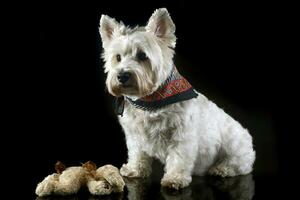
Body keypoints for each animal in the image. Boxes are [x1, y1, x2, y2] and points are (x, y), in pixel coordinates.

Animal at [99, 7, 254, 189]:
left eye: (142, 56)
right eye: (118, 57)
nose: (122, 75)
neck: (150, 100)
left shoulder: (182, 137)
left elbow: (179, 158)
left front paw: (175, 178)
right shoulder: (135, 135)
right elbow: (137, 153)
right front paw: (135, 170)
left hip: (235, 145)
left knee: (240, 164)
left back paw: (221, 168)